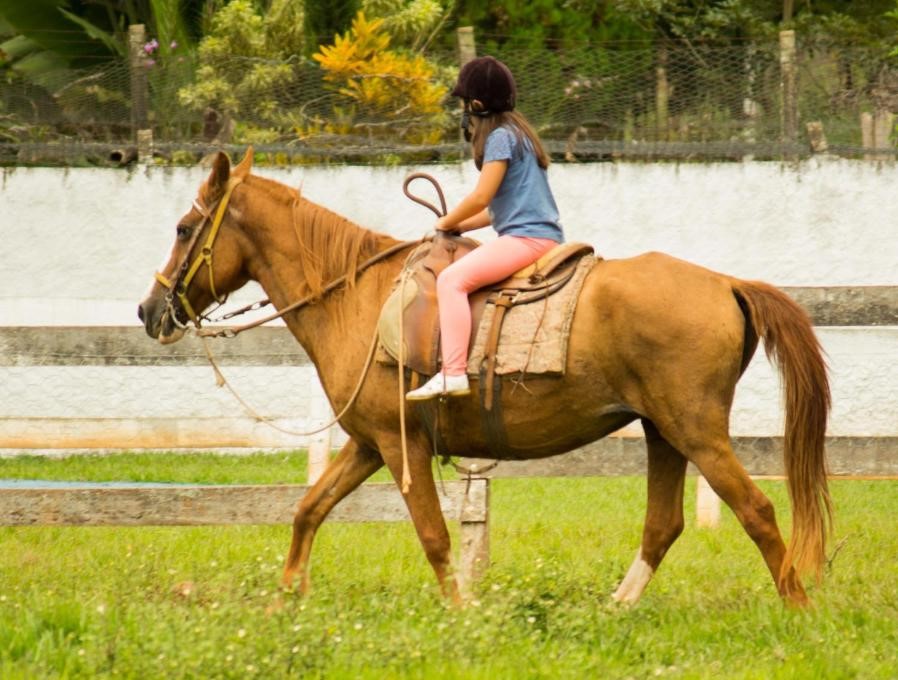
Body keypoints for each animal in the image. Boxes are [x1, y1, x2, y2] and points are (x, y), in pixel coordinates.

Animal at [138, 149, 832, 607]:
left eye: (183, 228)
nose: (150, 311)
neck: (356, 296)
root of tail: (728, 284)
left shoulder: (401, 446)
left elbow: (433, 535)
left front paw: (460, 613)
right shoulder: (368, 443)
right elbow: (309, 508)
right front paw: (287, 597)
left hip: (696, 432)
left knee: (757, 510)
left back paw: (796, 609)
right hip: (664, 432)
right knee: (663, 526)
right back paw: (617, 607)